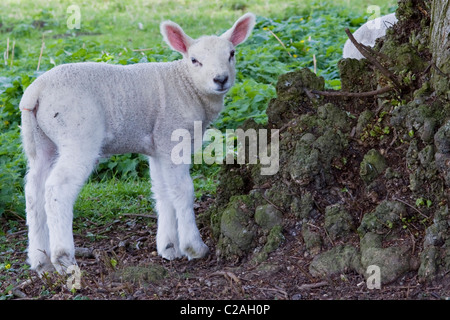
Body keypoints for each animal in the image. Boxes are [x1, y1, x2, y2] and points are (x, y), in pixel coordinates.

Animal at [20, 11, 256, 274]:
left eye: (231, 54)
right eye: (195, 60)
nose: (220, 79)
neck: (186, 85)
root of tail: (36, 92)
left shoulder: (157, 145)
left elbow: (163, 191)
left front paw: (169, 247)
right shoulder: (172, 136)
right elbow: (182, 189)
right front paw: (194, 247)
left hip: (39, 140)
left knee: (34, 191)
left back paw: (40, 260)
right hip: (78, 134)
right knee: (57, 188)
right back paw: (63, 259)